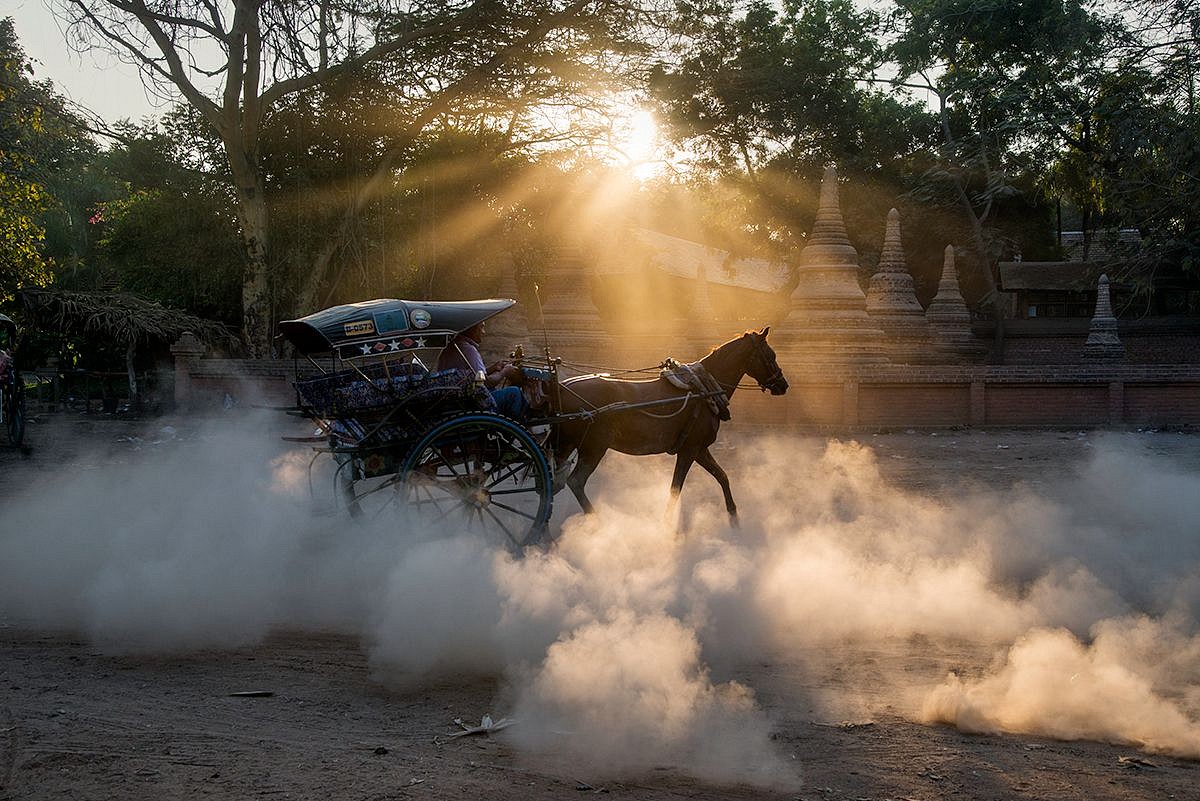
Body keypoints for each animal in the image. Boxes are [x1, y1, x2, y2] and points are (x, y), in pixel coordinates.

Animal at [547, 326, 787, 525]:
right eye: (771, 355)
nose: (783, 385)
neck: (704, 390)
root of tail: (562, 388)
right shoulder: (690, 449)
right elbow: (676, 488)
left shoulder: (700, 449)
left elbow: (722, 477)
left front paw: (734, 518)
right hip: (594, 446)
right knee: (575, 481)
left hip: (566, 445)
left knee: (553, 481)